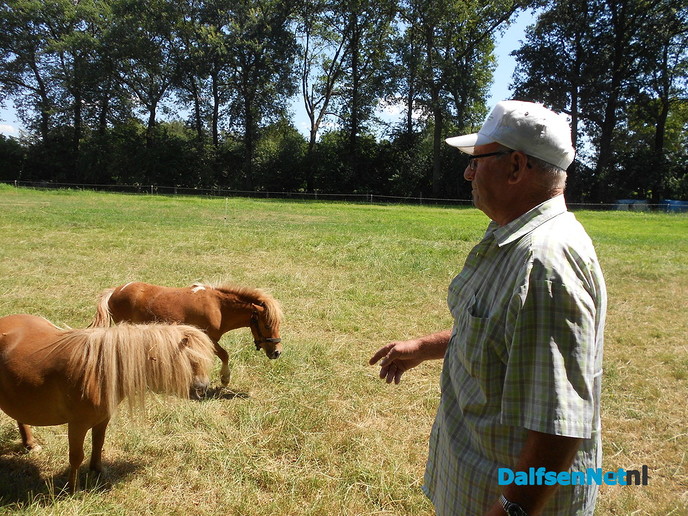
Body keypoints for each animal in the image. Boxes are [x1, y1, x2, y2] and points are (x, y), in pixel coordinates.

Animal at [0, 314, 215, 493]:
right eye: (192, 360)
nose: (203, 389)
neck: (97, 370)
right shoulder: (77, 425)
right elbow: (76, 456)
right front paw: (73, 489)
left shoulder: (103, 419)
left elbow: (98, 443)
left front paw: (97, 471)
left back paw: (30, 444)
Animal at [89, 282, 283, 386]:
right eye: (267, 325)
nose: (277, 352)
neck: (218, 307)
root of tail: (115, 291)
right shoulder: (207, 338)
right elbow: (223, 354)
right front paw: (223, 378)